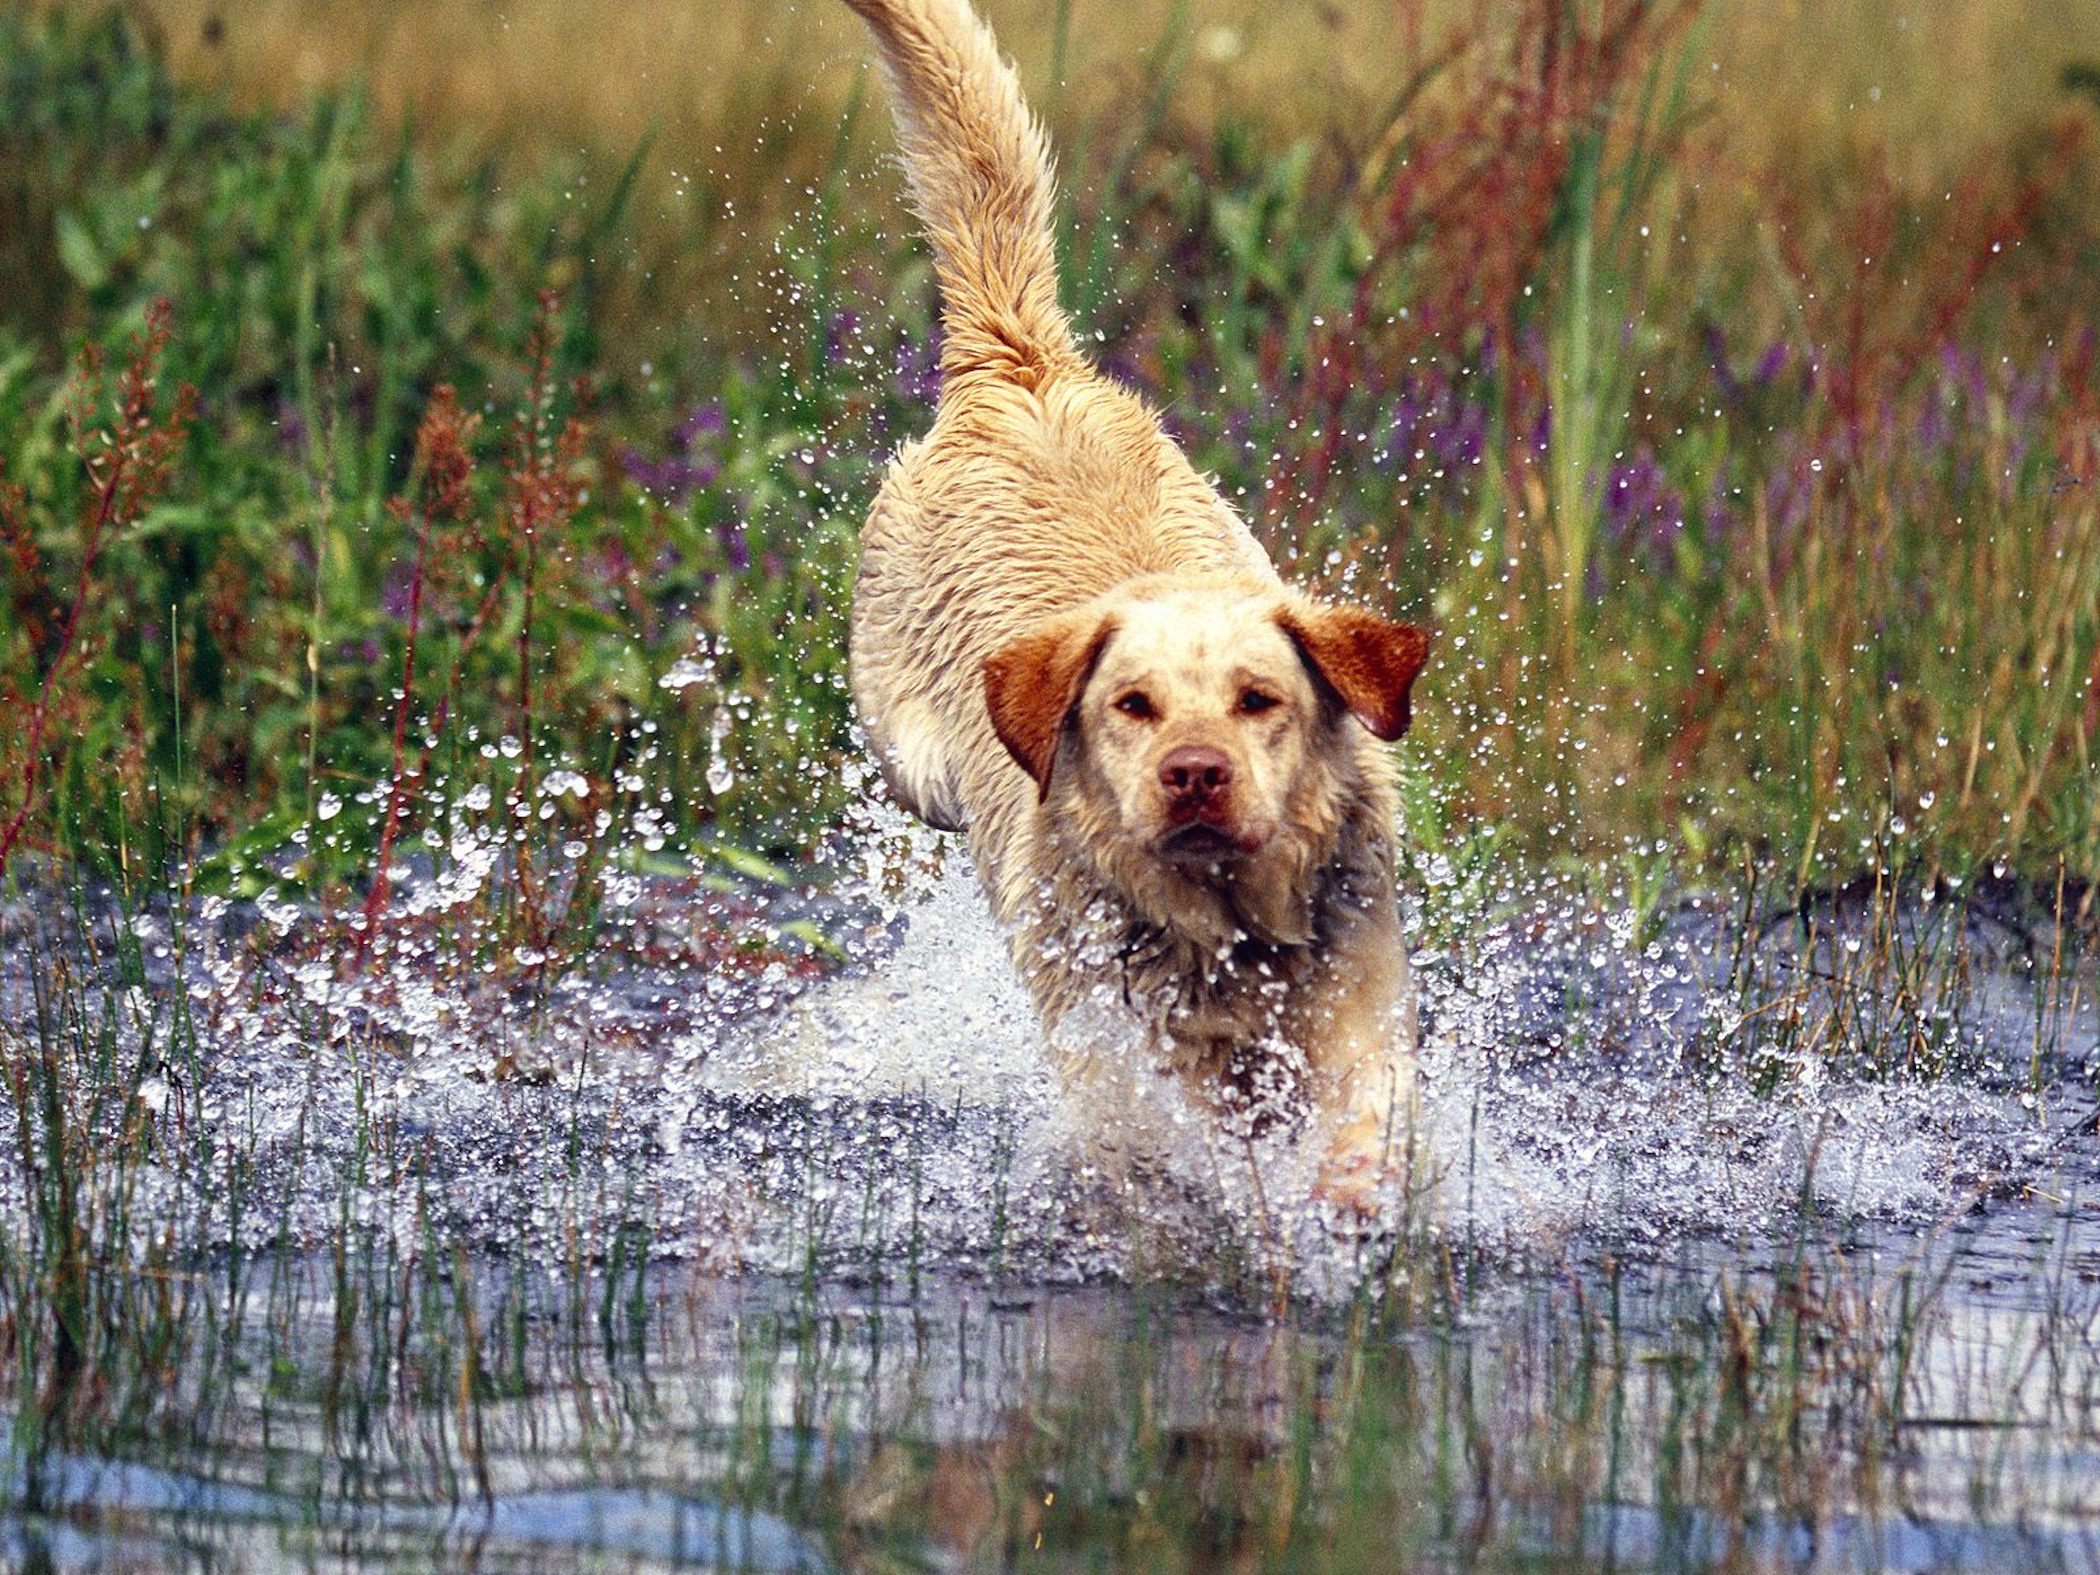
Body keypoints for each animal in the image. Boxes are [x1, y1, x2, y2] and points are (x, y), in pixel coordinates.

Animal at [831, 0, 1427, 1209]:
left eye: (1259, 701)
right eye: (1131, 707)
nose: (1193, 775)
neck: (1229, 930)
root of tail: (1022, 367)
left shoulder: (1362, 997)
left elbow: (1369, 1114)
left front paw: (1348, 1199)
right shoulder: (1116, 1061)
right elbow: (1161, 1145)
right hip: (907, 748)